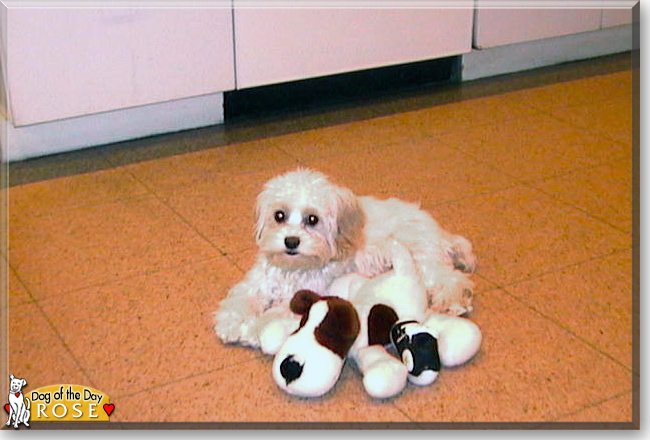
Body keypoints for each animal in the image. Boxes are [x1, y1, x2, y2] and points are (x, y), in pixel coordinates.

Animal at [215, 168, 474, 348]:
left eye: (312, 219)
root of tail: (438, 229)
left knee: (452, 279)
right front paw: (230, 323)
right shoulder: (257, 284)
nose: (291, 241)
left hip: (424, 261)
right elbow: (239, 300)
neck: (294, 268)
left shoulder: (305, 296)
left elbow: (273, 315)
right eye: (279, 215)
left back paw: (454, 302)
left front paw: (251, 329)